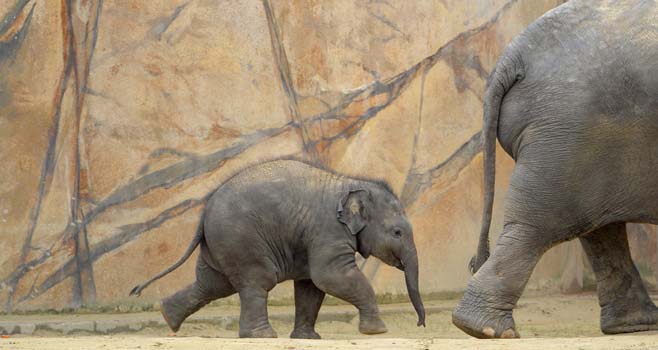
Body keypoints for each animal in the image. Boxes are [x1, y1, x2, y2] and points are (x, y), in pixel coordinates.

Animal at [129, 160, 426, 338]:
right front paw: (378, 332)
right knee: (256, 282)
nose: (420, 325)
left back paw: (168, 317)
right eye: (397, 233)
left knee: (212, 284)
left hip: (220, 246)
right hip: (242, 241)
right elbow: (330, 276)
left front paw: (308, 339)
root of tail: (204, 213)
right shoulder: (328, 231)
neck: (350, 182)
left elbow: (311, 285)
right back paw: (262, 336)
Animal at [452, 0, 656, 340]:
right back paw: (487, 330)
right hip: (566, 133)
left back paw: (635, 324)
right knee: (541, 224)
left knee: (597, 228)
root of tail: (514, 53)